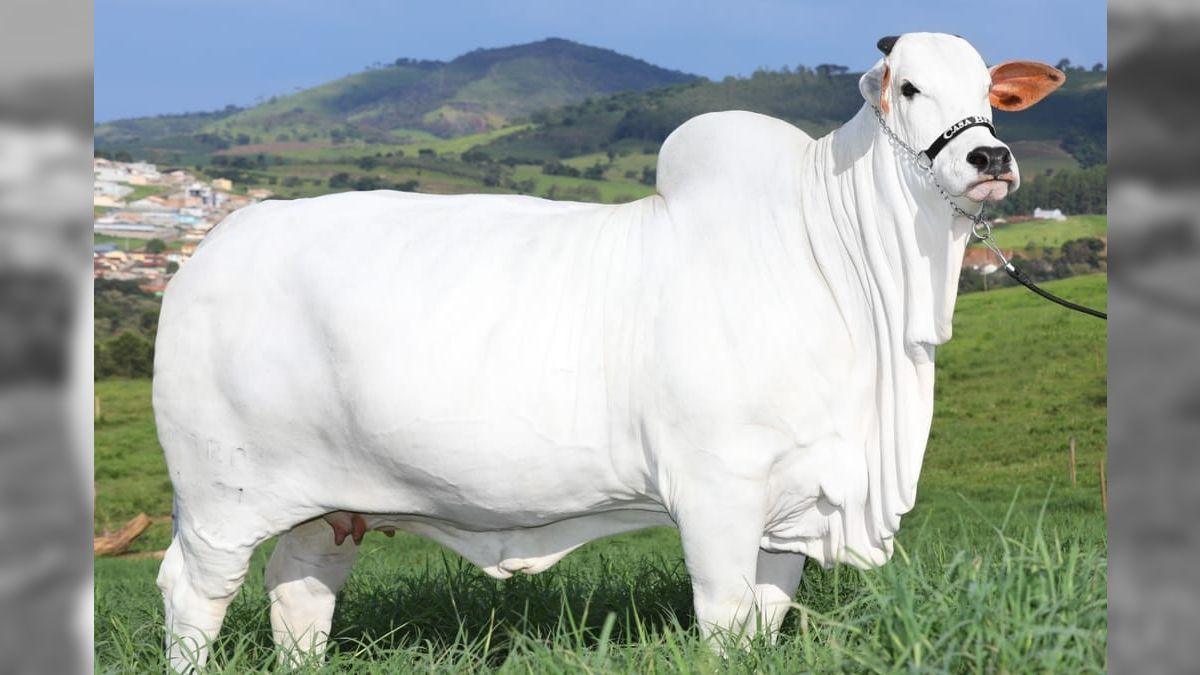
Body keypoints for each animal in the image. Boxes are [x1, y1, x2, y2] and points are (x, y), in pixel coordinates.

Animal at [153, 32, 1063, 670]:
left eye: (991, 94)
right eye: (909, 86)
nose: (990, 156)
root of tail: (211, 248)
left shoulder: (792, 506)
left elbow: (764, 622)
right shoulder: (716, 492)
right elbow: (726, 622)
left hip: (329, 506)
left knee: (299, 593)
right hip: (220, 499)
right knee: (191, 595)